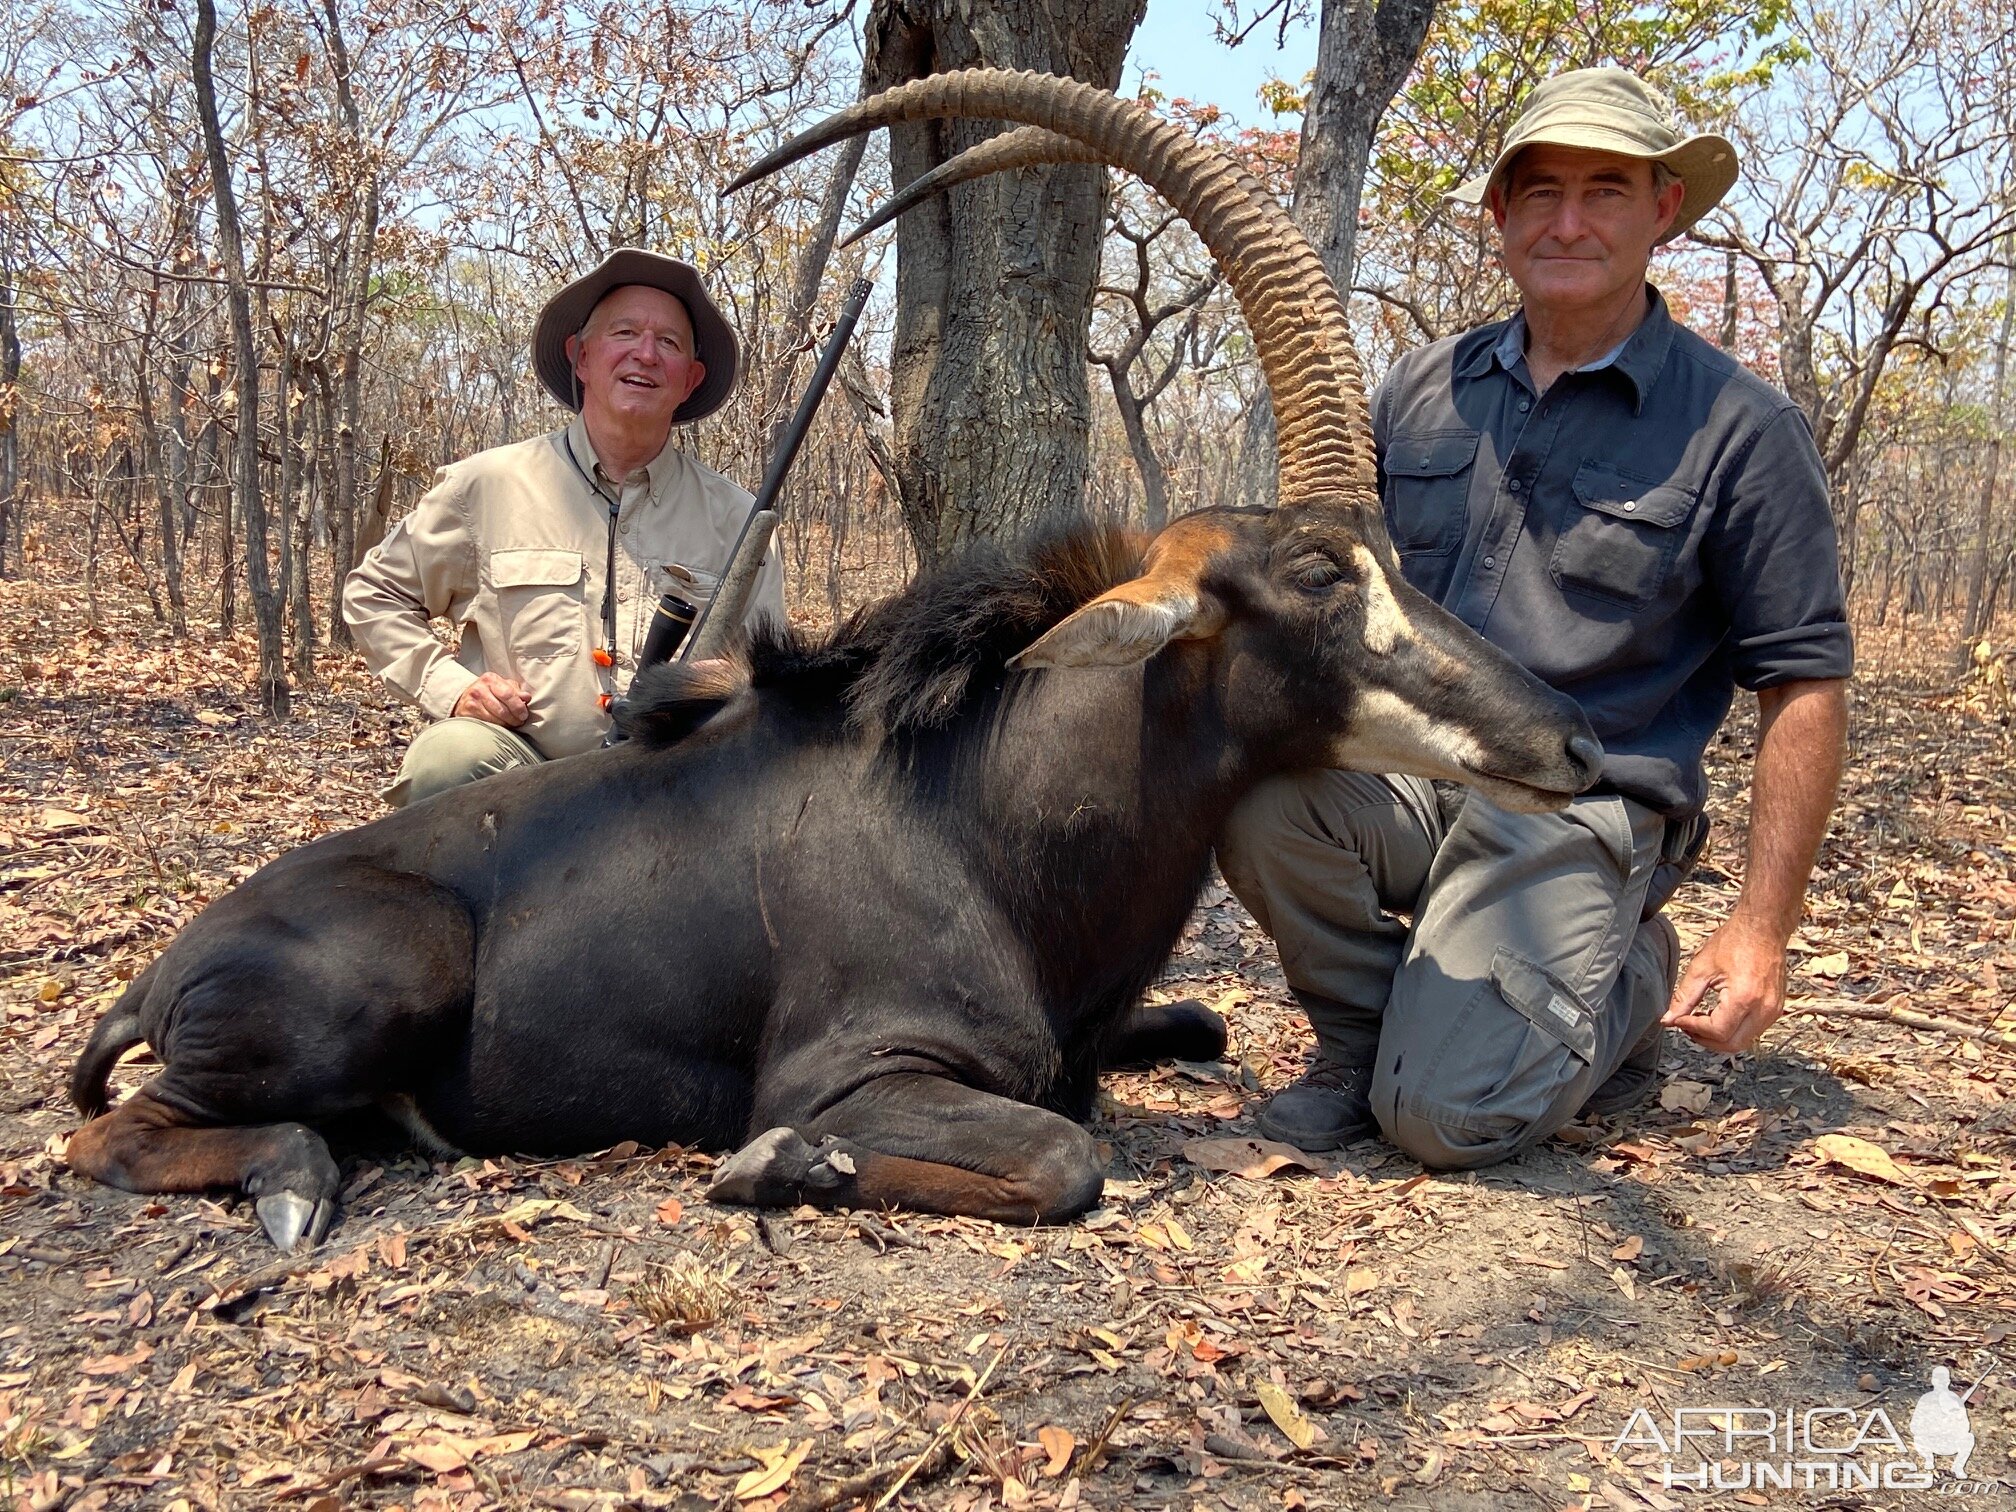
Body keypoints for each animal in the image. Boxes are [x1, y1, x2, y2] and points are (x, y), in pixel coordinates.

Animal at [67, 71, 1604, 1257]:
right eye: (1318, 578)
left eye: (1395, 555)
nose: (1575, 744)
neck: (982, 813)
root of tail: (168, 967)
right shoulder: (857, 1067)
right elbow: (1064, 1156)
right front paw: (779, 1165)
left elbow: (1195, 1037)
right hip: (385, 978)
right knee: (116, 1138)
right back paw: (293, 1179)